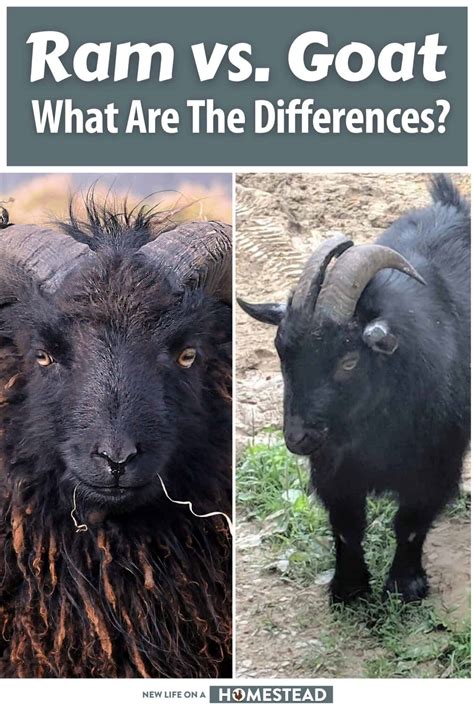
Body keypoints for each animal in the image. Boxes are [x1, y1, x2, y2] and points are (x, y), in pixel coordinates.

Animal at [239, 175, 470, 603]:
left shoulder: (436, 462)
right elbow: (347, 526)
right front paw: (348, 589)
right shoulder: (333, 467)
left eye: (348, 361)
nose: (298, 437)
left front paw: (405, 585)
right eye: (280, 351)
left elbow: (410, 523)